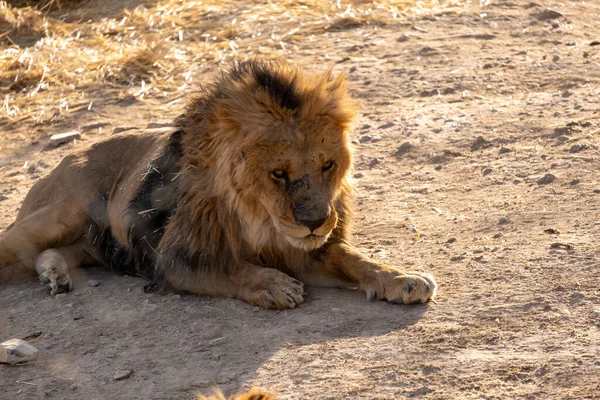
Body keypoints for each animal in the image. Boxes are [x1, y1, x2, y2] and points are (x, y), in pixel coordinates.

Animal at [1, 60, 440, 310]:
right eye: (279, 173)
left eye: (328, 165)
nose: (315, 223)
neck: (260, 219)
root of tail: (64, 157)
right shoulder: (174, 259)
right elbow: (229, 267)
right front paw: (273, 285)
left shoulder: (304, 250)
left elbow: (354, 258)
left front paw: (402, 278)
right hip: (62, 211)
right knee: (16, 241)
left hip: (90, 242)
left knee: (51, 252)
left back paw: (54, 276)